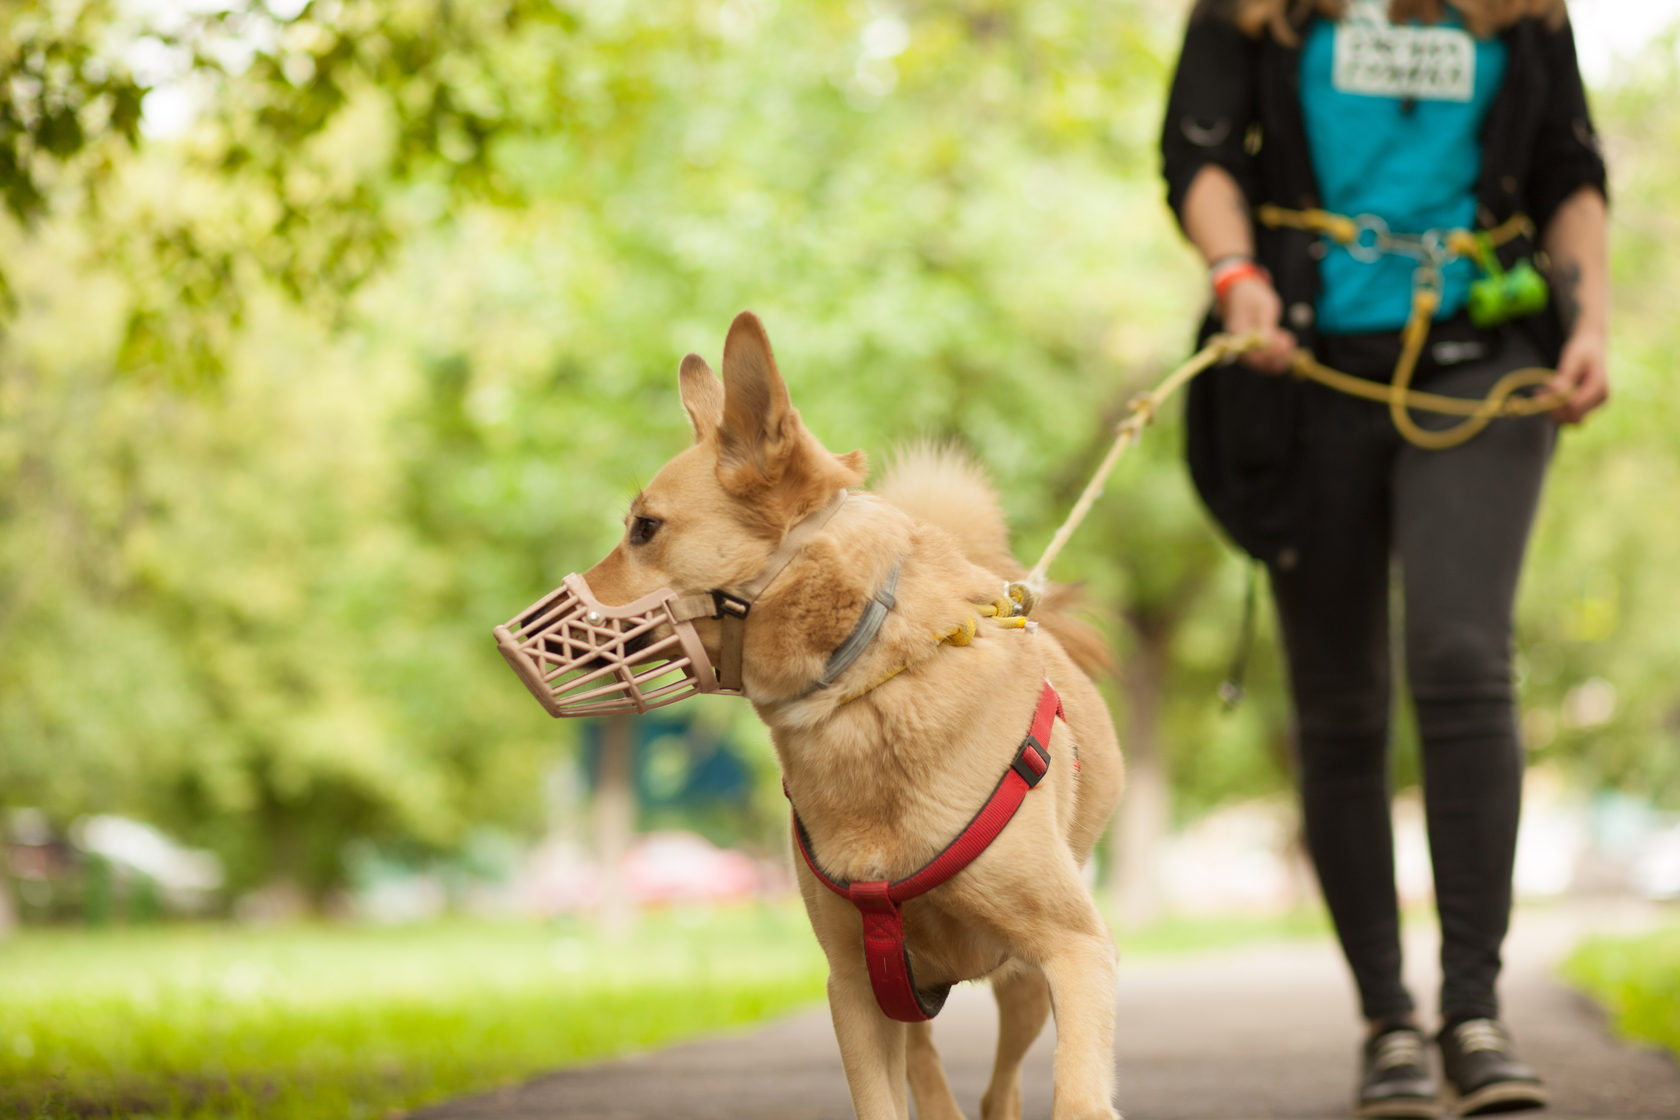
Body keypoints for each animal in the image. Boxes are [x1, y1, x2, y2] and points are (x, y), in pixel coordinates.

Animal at [581, 314, 1128, 1120]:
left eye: (645, 528)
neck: (864, 690)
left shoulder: (1076, 949)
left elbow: (1080, 1094)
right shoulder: (856, 989)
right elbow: (882, 1101)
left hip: (1025, 982)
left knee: (1000, 1088)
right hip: (906, 985)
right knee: (932, 1077)